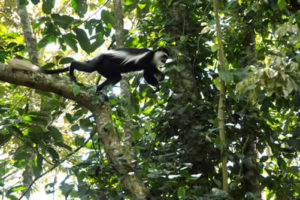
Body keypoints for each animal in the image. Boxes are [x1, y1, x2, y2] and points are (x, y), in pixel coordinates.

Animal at [8, 47, 169, 92]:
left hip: (104, 69)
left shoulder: (151, 64)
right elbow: (147, 75)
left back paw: (99, 90)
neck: (153, 56)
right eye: (164, 56)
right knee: (89, 68)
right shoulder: (145, 59)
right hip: (101, 61)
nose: (165, 61)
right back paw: (72, 69)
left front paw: (160, 79)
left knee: (116, 77)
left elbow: (151, 73)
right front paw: (157, 85)